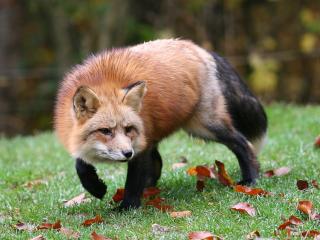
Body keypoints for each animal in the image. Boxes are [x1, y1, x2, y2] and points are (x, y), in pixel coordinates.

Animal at [55, 38, 268, 209]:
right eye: (105, 131)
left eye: (128, 129)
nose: (127, 153)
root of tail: (200, 48)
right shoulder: (79, 137)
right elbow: (80, 164)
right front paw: (96, 187)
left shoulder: (140, 145)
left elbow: (133, 182)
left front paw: (127, 208)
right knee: (157, 164)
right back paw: (151, 189)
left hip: (205, 126)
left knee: (242, 143)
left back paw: (250, 178)